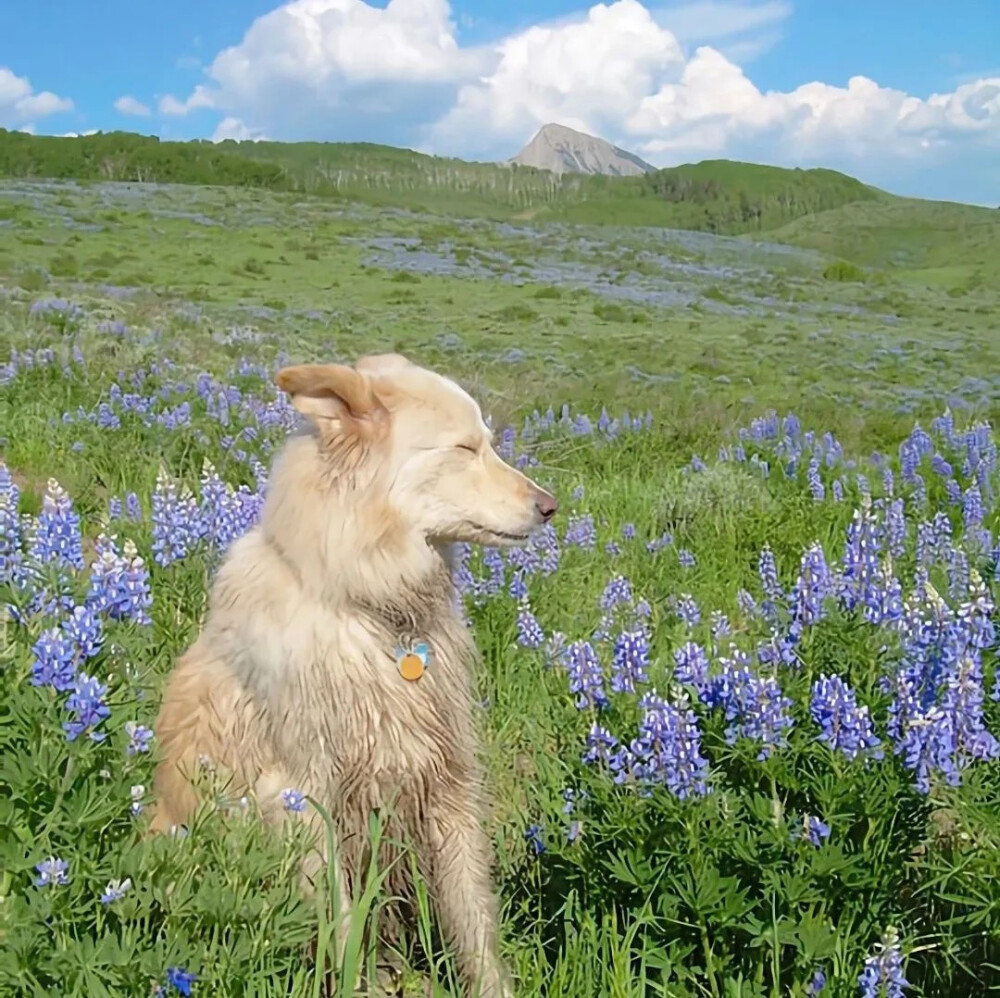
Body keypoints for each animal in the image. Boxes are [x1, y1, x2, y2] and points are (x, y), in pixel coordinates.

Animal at [147, 356, 560, 996]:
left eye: (488, 443)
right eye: (464, 448)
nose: (549, 505)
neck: (377, 613)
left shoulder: (445, 780)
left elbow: (474, 920)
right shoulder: (303, 794)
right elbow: (340, 926)